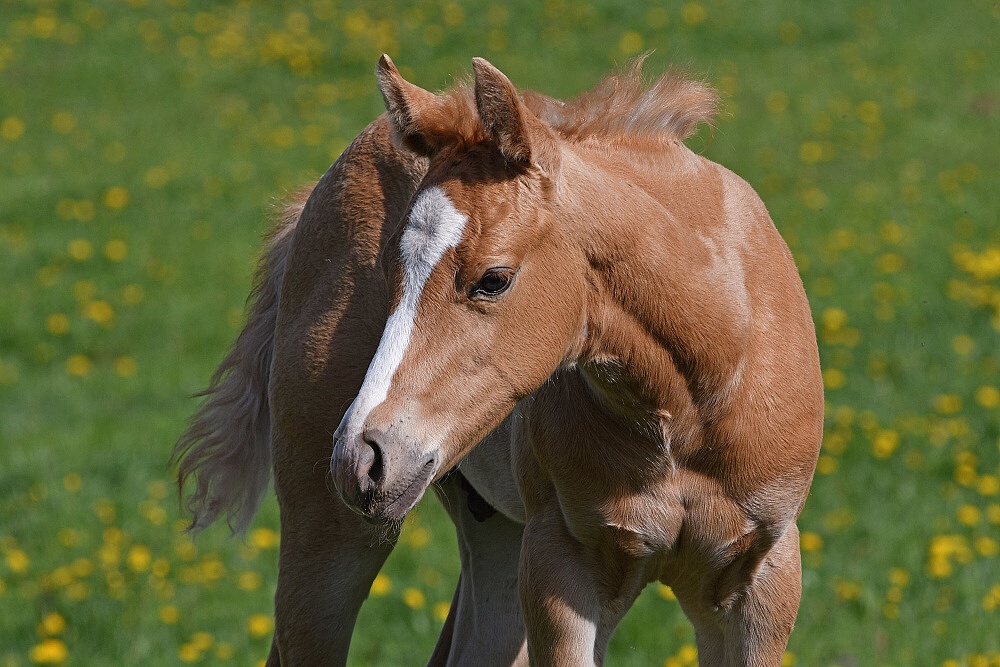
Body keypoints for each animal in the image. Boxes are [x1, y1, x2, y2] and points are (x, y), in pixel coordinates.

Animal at [176, 58, 824, 667]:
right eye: (388, 271)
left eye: (493, 279)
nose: (362, 457)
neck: (692, 404)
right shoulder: (562, 565)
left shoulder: (761, 583)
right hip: (331, 534)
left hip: (496, 535)